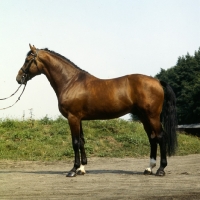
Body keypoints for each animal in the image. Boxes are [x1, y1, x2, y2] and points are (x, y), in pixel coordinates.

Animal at [16, 44, 177, 177]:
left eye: (27, 59)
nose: (18, 78)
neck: (70, 82)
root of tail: (157, 81)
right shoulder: (78, 119)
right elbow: (81, 141)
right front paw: (81, 169)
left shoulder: (73, 118)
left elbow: (75, 142)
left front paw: (73, 170)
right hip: (144, 117)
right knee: (152, 138)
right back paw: (149, 168)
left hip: (152, 116)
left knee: (160, 137)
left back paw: (161, 169)